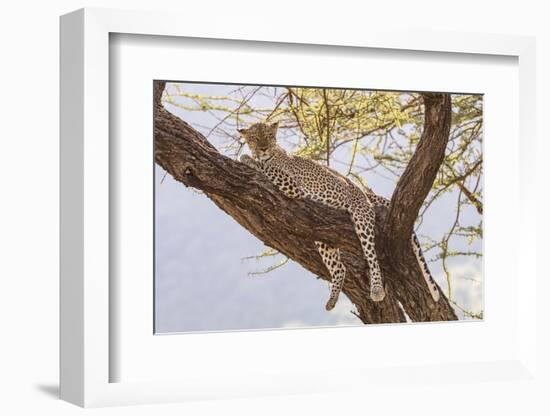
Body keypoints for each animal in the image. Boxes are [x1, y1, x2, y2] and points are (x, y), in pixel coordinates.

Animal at [239, 122, 442, 310]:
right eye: (255, 138)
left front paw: (246, 158)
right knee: (339, 267)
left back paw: (376, 289)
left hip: (361, 217)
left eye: (268, 136)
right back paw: (332, 299)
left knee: (371, 254)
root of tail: (363, 192)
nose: (263, 148)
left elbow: (265, 167)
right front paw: (249, 156)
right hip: (319, 231)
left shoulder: (291, 185)